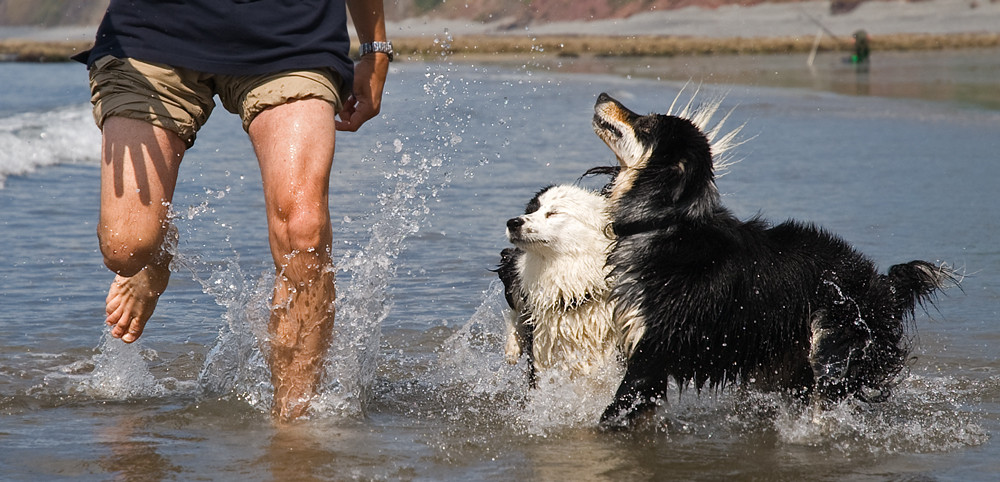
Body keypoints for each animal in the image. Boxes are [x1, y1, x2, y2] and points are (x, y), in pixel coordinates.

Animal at [588, 92, 956, 428]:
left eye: (646, 124)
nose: (603, 95)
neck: (666, 223)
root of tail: (883, 285)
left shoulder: (651, 353)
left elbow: (614, 411)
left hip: (833, 344)